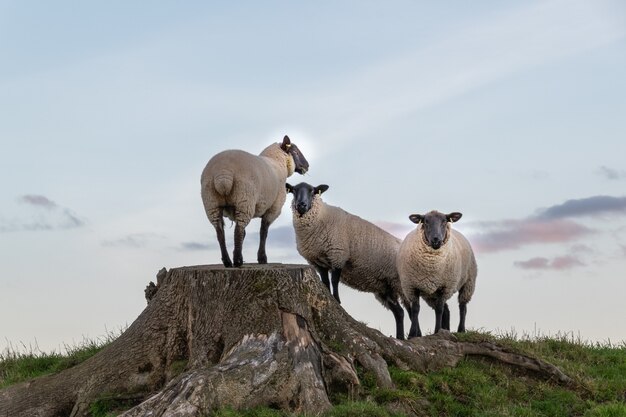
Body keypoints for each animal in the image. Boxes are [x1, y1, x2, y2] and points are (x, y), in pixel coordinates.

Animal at [200, 135, 308, 268]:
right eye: (296, 152)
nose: (307, 166)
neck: (278, 162)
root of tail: (223, 173)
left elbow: (246, 233)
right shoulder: (273, 208)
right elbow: (263, 232)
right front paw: (262, 258)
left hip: (212, 203)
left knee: (220, 232)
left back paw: (228, 261)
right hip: (245, 200)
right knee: (238, 231)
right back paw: (238, 261)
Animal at [286, 181, 412, 338]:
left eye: (312, 191)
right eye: (294, 191)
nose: (301, 205)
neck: (321, 217)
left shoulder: (338, 254)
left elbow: (334, 280)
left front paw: (337, 300)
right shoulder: (318, 262)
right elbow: (325, 282)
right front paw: (329, 298)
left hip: (402, 284)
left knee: (413, 310)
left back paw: (415, 334)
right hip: (386, 288)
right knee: (399, 312)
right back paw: (401, 338)